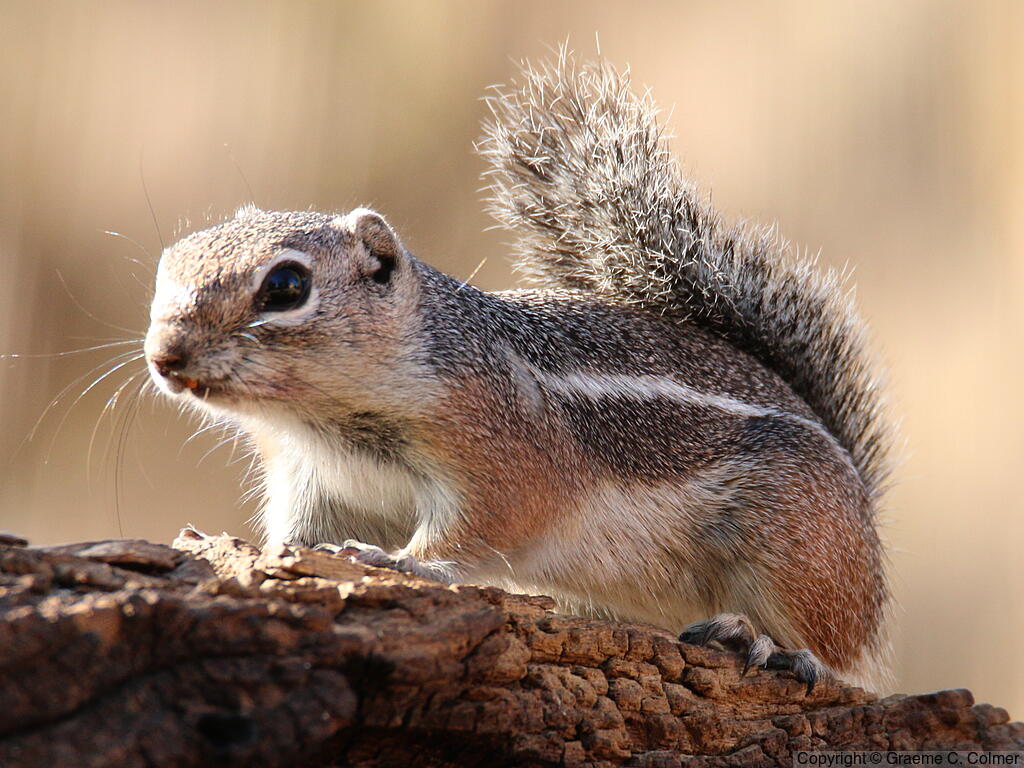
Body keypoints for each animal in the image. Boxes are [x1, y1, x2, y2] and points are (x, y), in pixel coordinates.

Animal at [144, 56, 892, 692]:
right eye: (168, 263)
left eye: (286, 286)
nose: (164, 356)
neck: (324, 421)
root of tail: (864, 509)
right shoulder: (312, 480)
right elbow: (298, 536)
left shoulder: (504, 452)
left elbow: (481, 528)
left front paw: (401, 561)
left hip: (793, 544)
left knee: (838, 654)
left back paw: (761, 641)